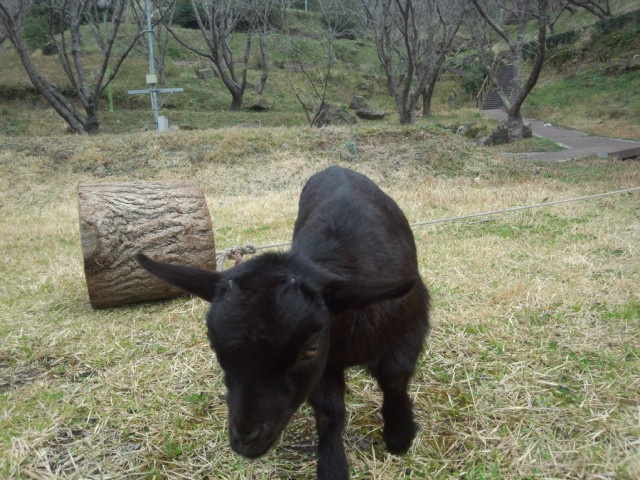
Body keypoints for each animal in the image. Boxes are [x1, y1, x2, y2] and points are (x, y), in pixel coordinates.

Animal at [136, 167, 430, 478]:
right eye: (215, 348)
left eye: (310, 348)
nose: (245, 440)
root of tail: (335, 168)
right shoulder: (325, 365)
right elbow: (329, 411)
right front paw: (332, 466)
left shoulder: (408, 329)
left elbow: (394, 377)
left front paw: (399, 435)